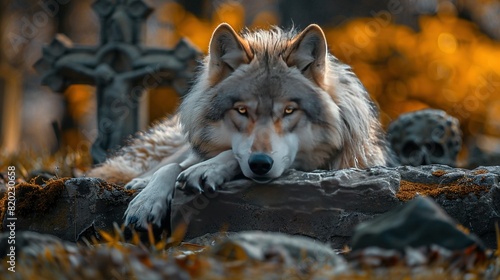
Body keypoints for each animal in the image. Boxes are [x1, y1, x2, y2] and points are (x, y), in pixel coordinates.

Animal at [89, 22, 394, 230]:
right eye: (242, 111)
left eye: (289, 111)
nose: (260, 164)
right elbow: (171, 168)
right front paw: (147, 201)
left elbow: (226, 158)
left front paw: (207, 170)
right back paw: (140, 181)